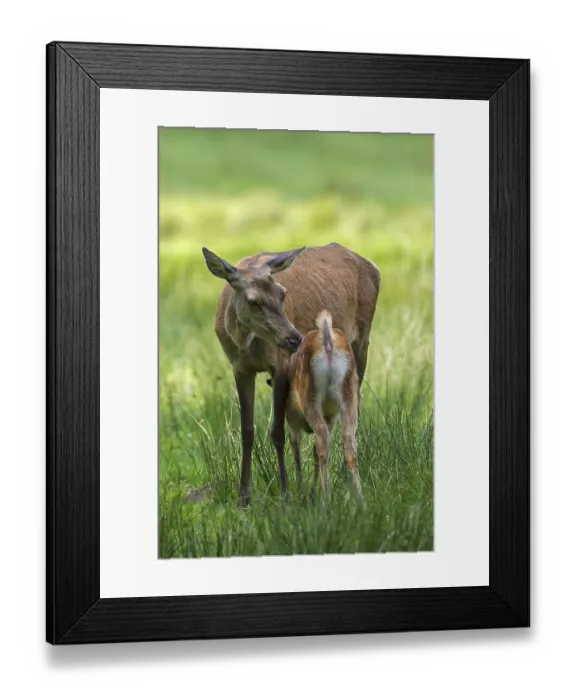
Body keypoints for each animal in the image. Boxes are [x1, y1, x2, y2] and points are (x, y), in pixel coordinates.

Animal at [286, 310, 362, 500]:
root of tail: (328, 342)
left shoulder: (292, 420)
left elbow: (295, 446)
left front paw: (302, 489)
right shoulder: (331, 417)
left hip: (310, 398)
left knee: (321, 441)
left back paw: (325, 497)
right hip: (349, 394)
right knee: (349, 442)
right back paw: (360, 498)